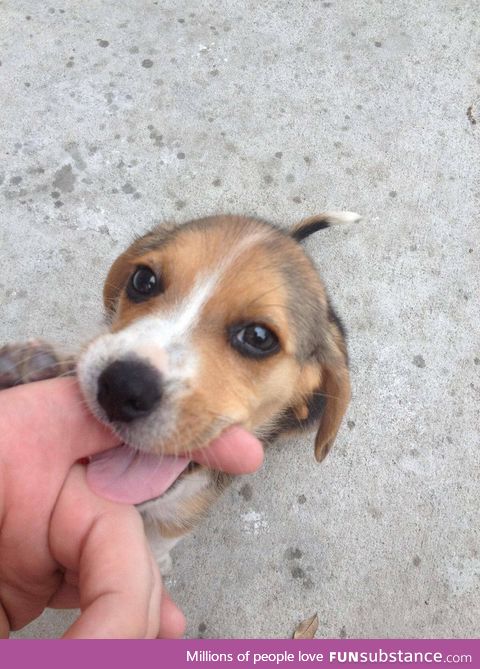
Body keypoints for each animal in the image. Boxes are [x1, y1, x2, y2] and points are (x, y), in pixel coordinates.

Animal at [0, 211, 356, 572]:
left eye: (258, 337)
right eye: (143, 280)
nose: (122, 387)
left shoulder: (182, 512)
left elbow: (161, 539)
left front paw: (156, 563)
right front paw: (27, 371)